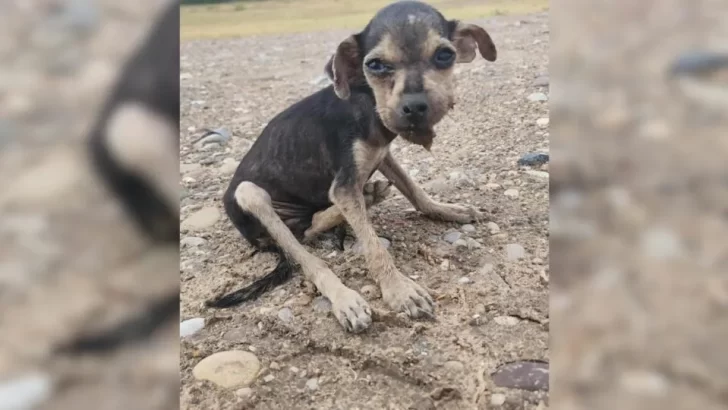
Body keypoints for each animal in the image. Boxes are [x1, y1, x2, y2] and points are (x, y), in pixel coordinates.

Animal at [208, 0, 498, 334]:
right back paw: (345, 298)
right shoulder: (344, 185)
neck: (367, 102)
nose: (414, 108)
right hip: (250, 193)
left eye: (445, 55)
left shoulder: (382, 155)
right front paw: (399, 290)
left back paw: (364, 198)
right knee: (306, 254)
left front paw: (448, 210)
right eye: (375, 65)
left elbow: (415, 191)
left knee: (309, 228)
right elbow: (374, 247)